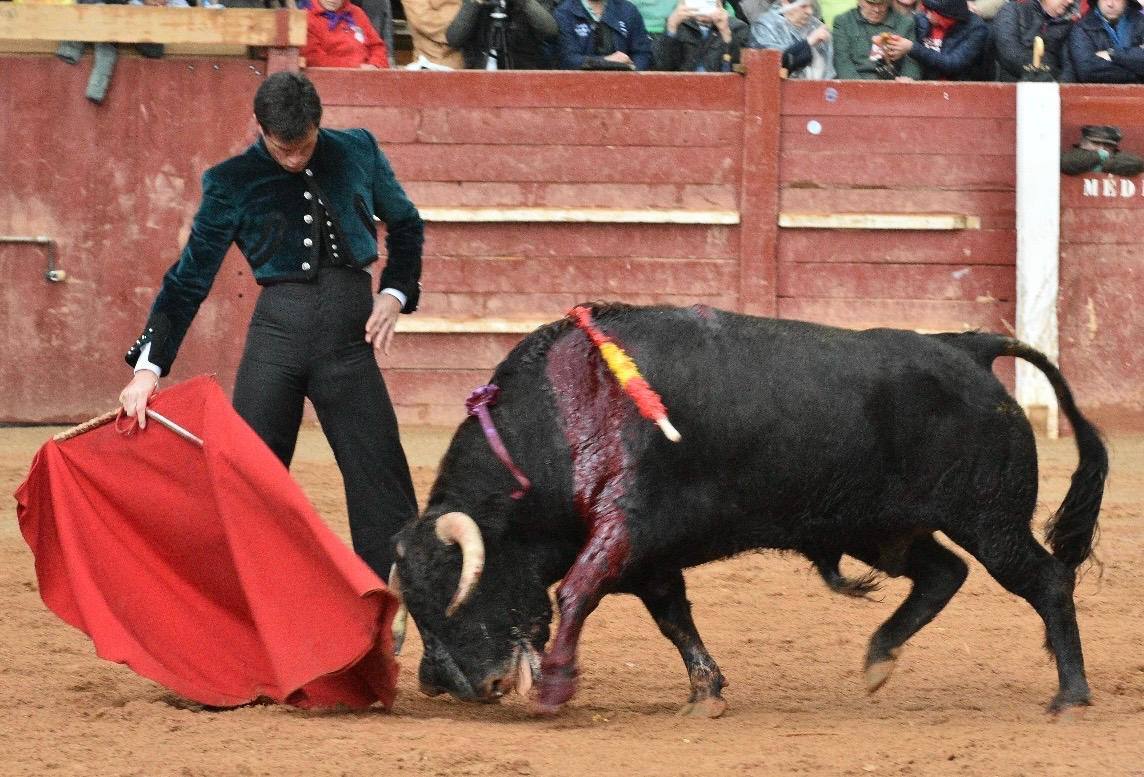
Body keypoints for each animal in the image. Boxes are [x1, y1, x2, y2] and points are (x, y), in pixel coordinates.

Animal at [393, 302, 1107, 718]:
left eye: (457, 594)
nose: (447, 685)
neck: (561, 419)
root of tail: (966, 347)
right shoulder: (648, 555)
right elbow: (672, 616)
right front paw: (705, 693)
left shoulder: (625, 526)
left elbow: (577, 592)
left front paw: (555, 689)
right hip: (883, 529)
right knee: (942, 574)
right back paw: (879, 659)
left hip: (991, 523)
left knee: (1046, 579)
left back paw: (1070, 695)